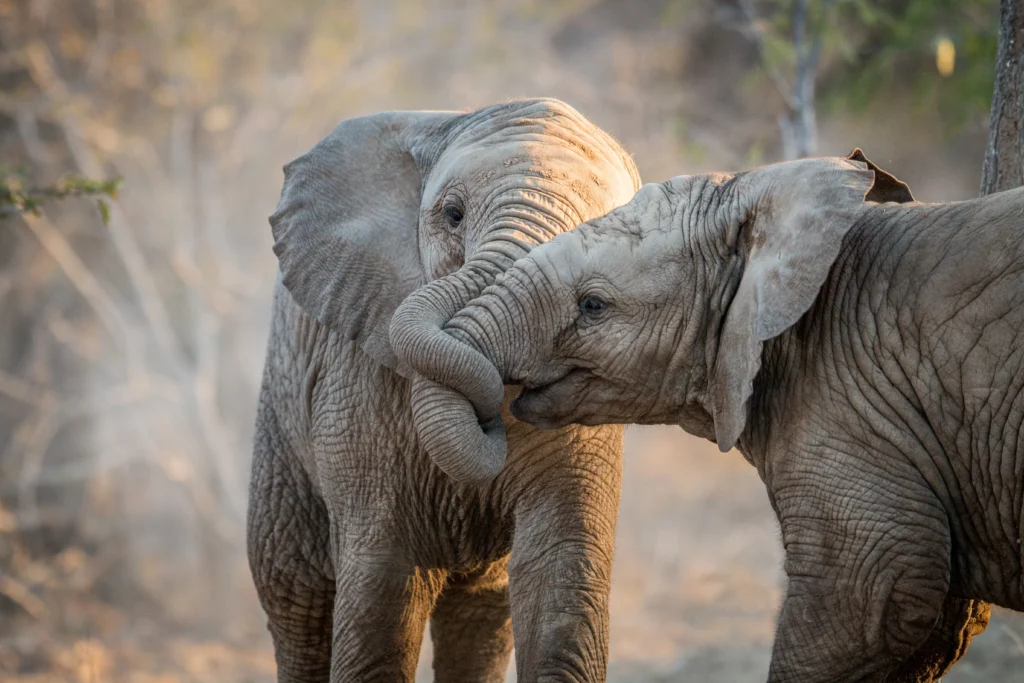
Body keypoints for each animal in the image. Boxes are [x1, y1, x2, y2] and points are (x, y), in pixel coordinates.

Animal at [247, 98, 641, 682]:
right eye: (452, 215)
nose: (490, 415)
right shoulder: (356, 384)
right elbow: (383, 586)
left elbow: (560, 573)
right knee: (297, 601)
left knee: (480, 615)